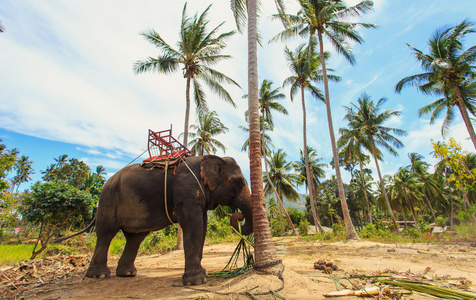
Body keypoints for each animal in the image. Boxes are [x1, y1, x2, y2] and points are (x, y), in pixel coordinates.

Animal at [68, 155, 253, 286]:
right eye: (238, 182)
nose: (238, 218)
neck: (208, 158)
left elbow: (203, 226)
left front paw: (203, 274)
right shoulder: (186, 190)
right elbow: (193, 225)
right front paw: (197, 281)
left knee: (135, 238)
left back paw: (127, 274)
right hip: (108, 201)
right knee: (106, 233)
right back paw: (99, 275)